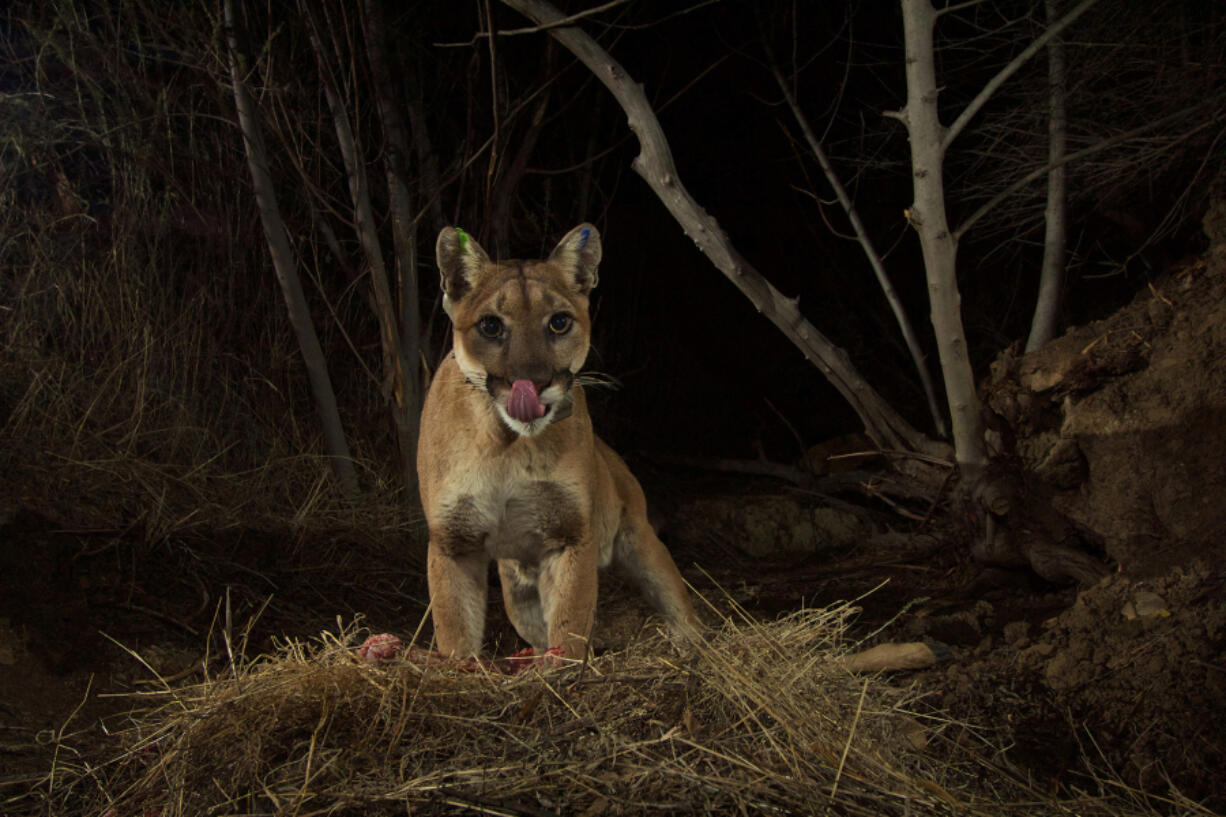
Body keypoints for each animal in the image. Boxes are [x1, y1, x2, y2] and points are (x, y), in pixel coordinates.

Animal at [416, 220, 696, 662]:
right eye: (491, 326)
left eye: (559, 322)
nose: (533, 382)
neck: (506, 444)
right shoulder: (454, 541)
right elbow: (455, 627)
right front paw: (460, 666)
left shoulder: (570, 534)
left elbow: (570, 621)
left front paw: (565, 669)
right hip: (518, 593)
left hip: (642, 542)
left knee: (680, 606)